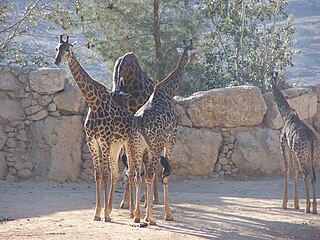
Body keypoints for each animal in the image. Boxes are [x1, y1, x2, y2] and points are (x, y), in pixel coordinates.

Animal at [53, 34, 132, 222]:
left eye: (68, 49)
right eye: (56, 48)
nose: (56, 60)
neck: (94, 103)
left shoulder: (104, 141)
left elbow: (104, 174)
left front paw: (105, 214)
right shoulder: (92, 141)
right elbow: (98, 175)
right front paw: (98, 213)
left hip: (127, 145)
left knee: (131, 172)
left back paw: (133, 211)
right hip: (116, 146)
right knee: (117, 172)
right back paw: (112, 209)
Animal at [270, 71, 318, 214]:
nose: (272, 80)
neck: (286, 116)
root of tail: (312, 139)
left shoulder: (283, 146)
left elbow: (286, 172)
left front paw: (284, 204)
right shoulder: (292, 150)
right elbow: (295, 173)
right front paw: (296, 204)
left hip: (302, 155)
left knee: (306, 175)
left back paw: (308, 208)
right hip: (312, 155)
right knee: (313, 176)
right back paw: (314, 208)